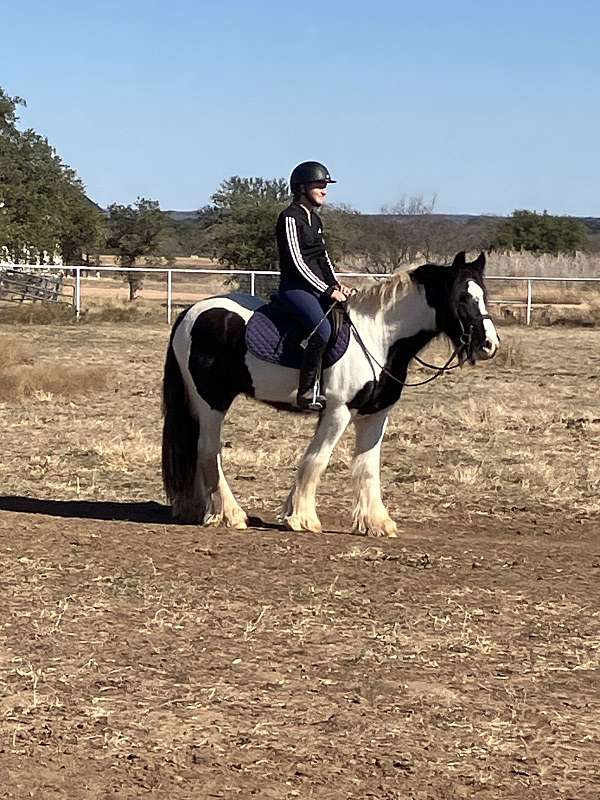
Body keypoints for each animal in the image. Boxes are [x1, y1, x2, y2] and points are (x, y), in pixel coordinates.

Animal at [162, 250, 500, 536]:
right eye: (463, 297)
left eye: (484, 296)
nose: (489, 345)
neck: (378, 337)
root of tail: (191, 311)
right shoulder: (338, 411)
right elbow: (316, 460)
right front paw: (302, 518)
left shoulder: (376, 414)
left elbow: (367, 467)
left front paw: (376, 523)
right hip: (212, 401)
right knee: (209, 451)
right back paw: (231, 515)